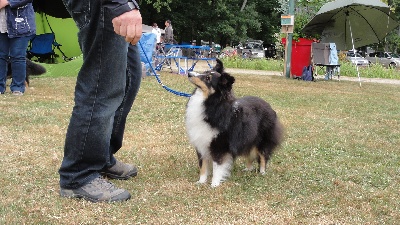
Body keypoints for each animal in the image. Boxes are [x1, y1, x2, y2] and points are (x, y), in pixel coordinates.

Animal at [186, 59, 282, 187]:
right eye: (205, 72)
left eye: (207, 78)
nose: (189, 73)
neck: (212, 104)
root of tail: (269, 106)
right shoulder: (201, 143)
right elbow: (203, 166)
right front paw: (201, 182)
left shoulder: (219, 145)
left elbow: (217, 166)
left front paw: (214, 184)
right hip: (248, 138)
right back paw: (248, 169)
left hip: (263, 140)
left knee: (263, 156)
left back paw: (262, 173)